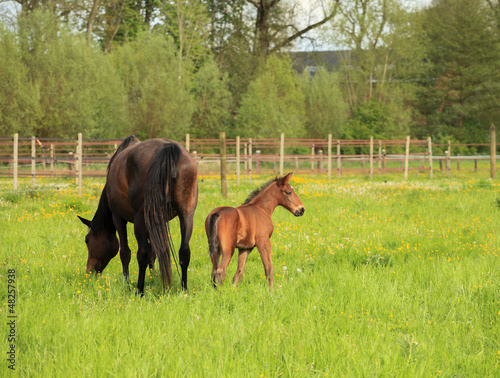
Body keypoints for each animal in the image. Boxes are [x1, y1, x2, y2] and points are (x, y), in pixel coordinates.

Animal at [78, 136, 197, 292]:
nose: (89, 271)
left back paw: (139, 290)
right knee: (184, 251)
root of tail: (168, 149)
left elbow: (125, 253)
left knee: (142, 254)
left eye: (87, 240)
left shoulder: (118, 217)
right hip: (186, 214)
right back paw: (184, 290)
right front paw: (154, 278)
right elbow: (154, 252)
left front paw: (127, 284)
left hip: (141, 218)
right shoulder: (157, 220)